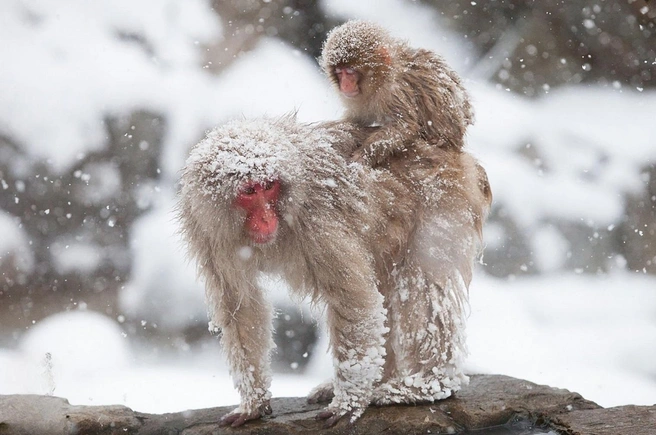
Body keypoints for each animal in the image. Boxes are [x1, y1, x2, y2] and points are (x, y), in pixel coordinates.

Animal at [177, 115, 490, 426]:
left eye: (269, 186)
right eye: (249, 191)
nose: (266, 218)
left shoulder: (317, 220)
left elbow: (354, 299)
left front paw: (347, 403)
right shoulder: (208, 232)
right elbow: (241, 306)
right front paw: (253, 402)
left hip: (440, 205)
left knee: (421, 286)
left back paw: (425, 385)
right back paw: (379, 381)